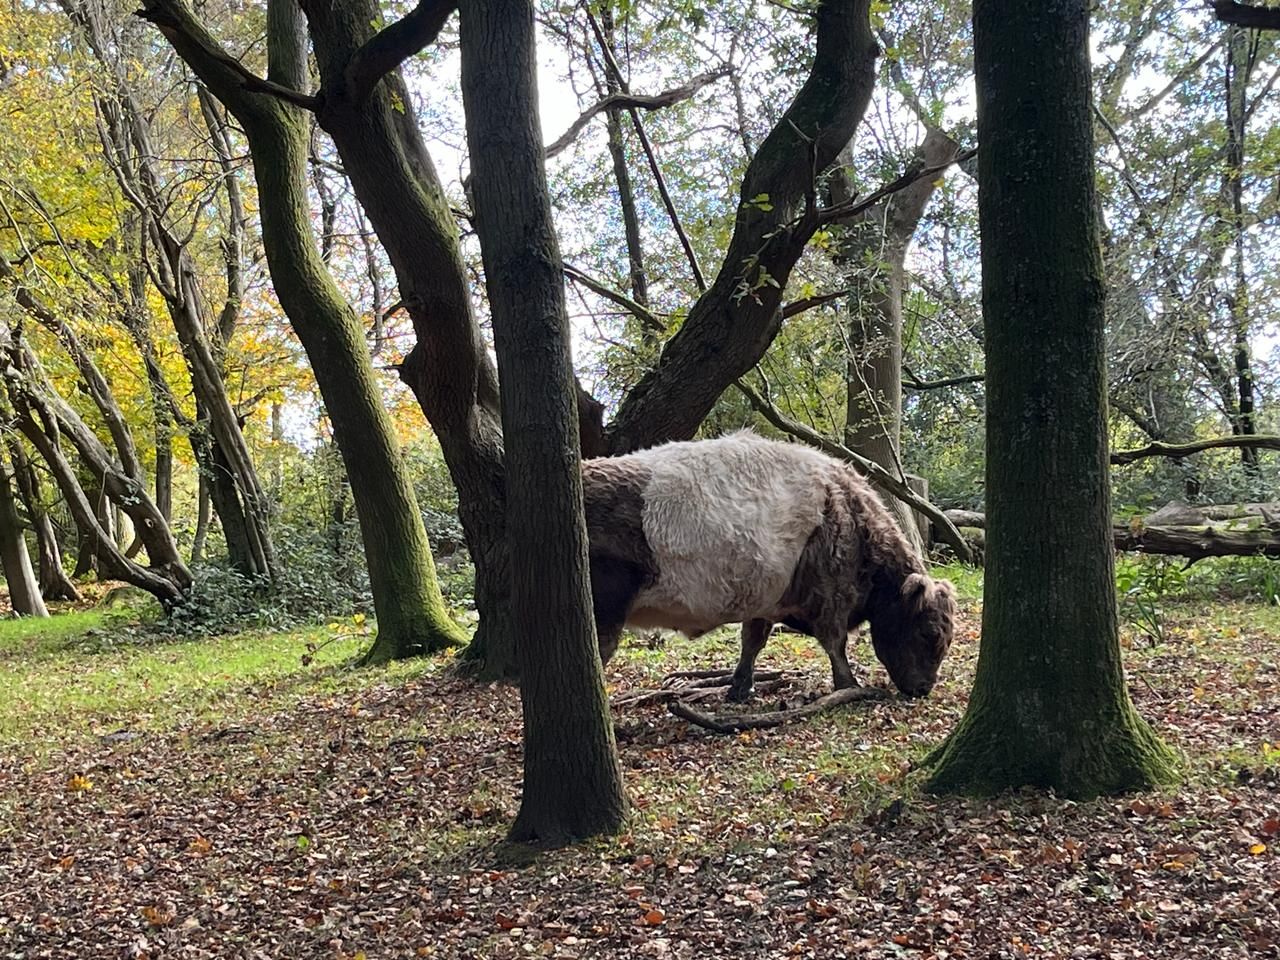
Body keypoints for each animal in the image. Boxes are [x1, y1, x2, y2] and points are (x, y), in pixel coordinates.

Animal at [581, 430, 956, 701]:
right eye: (929, 632)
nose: (925, 688)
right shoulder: (833, 594)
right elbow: (834, 643)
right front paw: (849, 685)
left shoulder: (763, 598)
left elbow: (753, 641)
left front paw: (739, 689)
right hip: (606, 612)